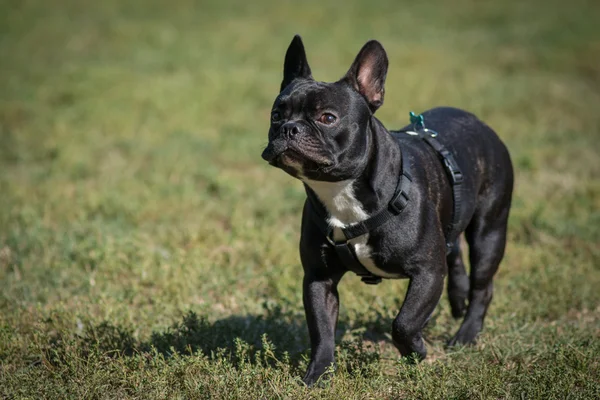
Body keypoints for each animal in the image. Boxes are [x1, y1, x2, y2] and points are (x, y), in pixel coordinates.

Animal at [260, 36, 512, 386]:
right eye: (275, 115)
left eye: (327, 118)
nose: (289, 128)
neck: (341, 193)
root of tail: (479, 123)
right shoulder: (318, 279)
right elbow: (321, 331)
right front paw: (318, 375)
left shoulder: (426, 272)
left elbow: (404, 322)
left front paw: (416, 351)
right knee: (454, 252)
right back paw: (458, 299)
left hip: (490, 230)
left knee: (482, 284)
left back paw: (465, 336)